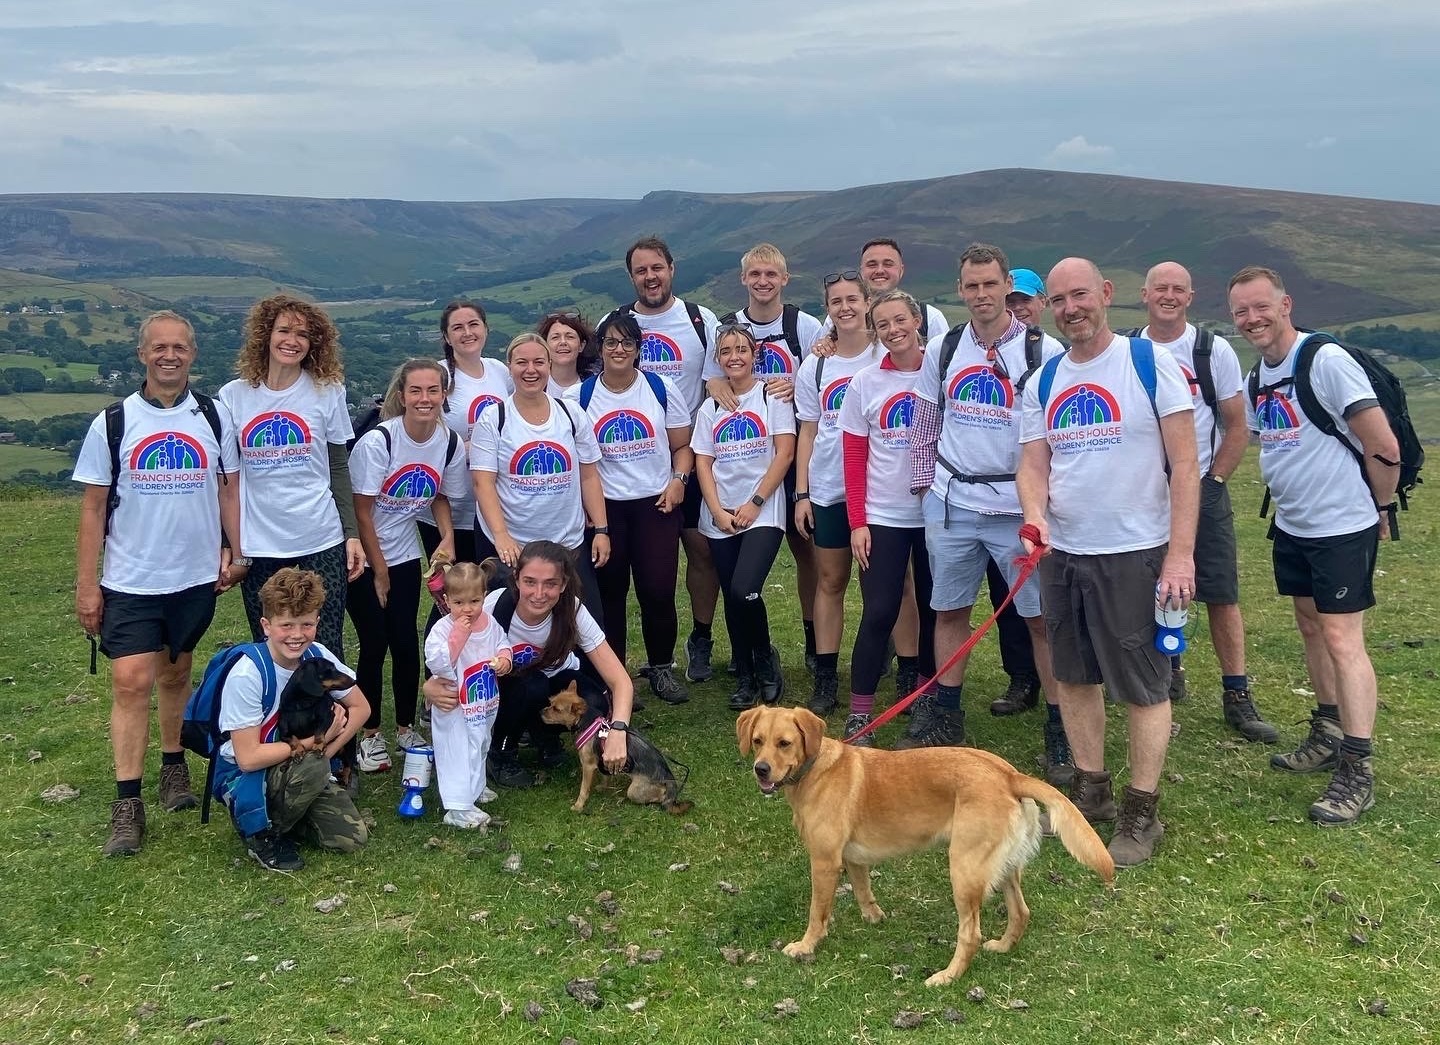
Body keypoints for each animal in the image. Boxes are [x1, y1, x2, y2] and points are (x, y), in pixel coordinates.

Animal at [541, 688, 694, 817]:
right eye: (550, 703)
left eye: (556, 709)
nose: (540, 712)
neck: (586, 722)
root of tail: (668, 778)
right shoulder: (604, 759)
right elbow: (605, 776)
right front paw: (603, 787)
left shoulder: (588, 766)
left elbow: (583, 789)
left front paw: (578, 806)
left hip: (634, 791)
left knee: (658, 797)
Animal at [737, 708, 1117, 984]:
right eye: (757, 741)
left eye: (784, 743)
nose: (760, 769)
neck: (816, 767)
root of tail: (1010, 775)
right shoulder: (853, 858)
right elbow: (863, 888)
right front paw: (873, 917)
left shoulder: (824, 862)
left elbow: (817, 913)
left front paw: (805, 945)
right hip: (1003, 868)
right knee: (1020, 912)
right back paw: (1003, 946)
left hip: (964, 870)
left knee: (970, 934)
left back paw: (947, 977)